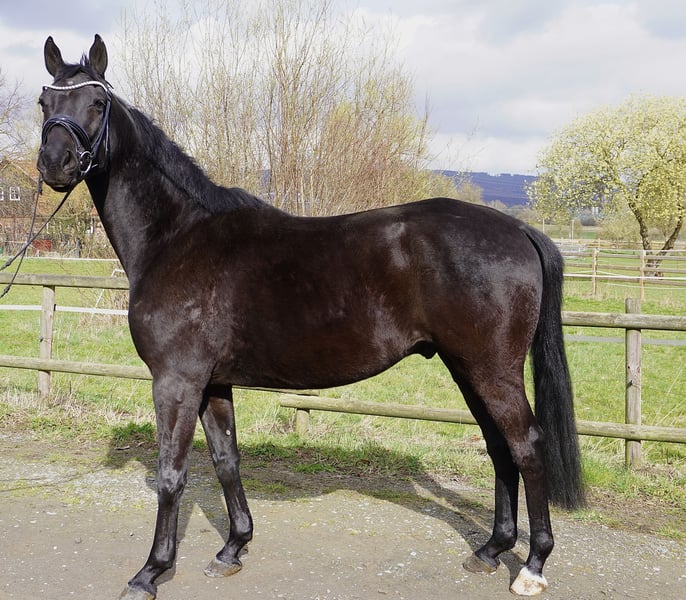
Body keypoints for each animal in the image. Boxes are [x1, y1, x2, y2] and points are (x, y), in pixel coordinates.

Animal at [36, 35, 584, 599]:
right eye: (45, 102)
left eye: (96, 103)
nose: (54, 164)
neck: (178, 238)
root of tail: (518, 229)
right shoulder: (212, 383)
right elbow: (227, 460)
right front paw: (233, 548)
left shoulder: (176, 381)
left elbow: (172, 473)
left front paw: (150, 571)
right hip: (467, 368)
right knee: (500, 448)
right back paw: (491, 550)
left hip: (491, 370)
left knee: (526, 446)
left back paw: (532, 565)